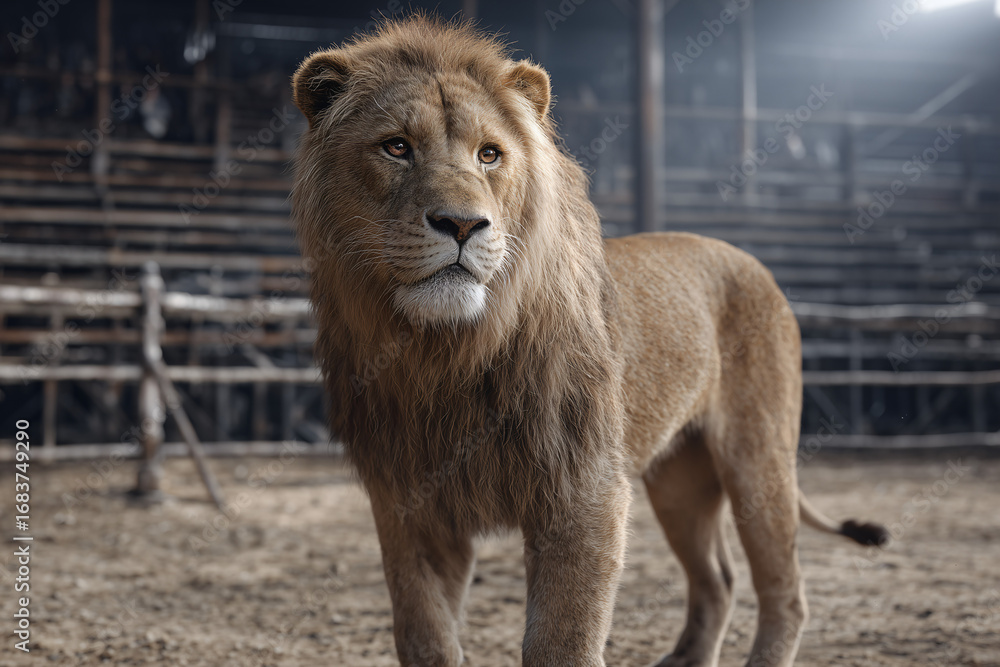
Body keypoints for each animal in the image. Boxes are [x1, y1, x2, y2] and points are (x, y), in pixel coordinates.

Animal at [290, 16, 888, 667]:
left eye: (489, 154)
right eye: (396, 146)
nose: (463, 224)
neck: (445, 349)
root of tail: (753, 262)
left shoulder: (584, 488)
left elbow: (562, 641)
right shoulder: (410, 504)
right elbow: (425, 637)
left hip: (758, 458)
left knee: (784, 589)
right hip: (680, 478)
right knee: (718, 579)